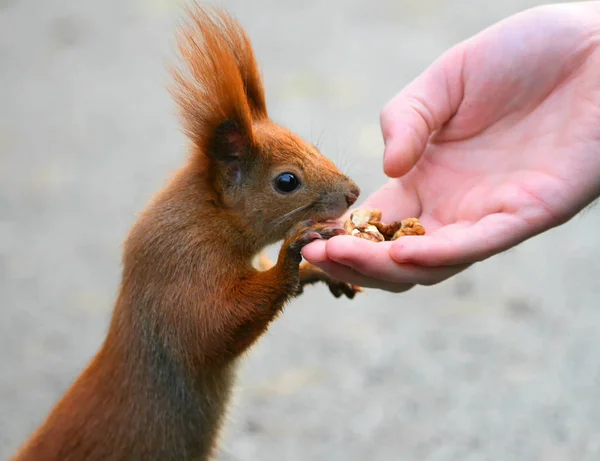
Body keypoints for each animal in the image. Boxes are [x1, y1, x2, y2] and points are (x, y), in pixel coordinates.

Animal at [11, 4, 360, 460]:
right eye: (287, 181)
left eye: (311, 145)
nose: (353, 193)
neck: (209, 217)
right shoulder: (180, 268)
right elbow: (212, 330)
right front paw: (292, 256)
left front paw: (319, 273)